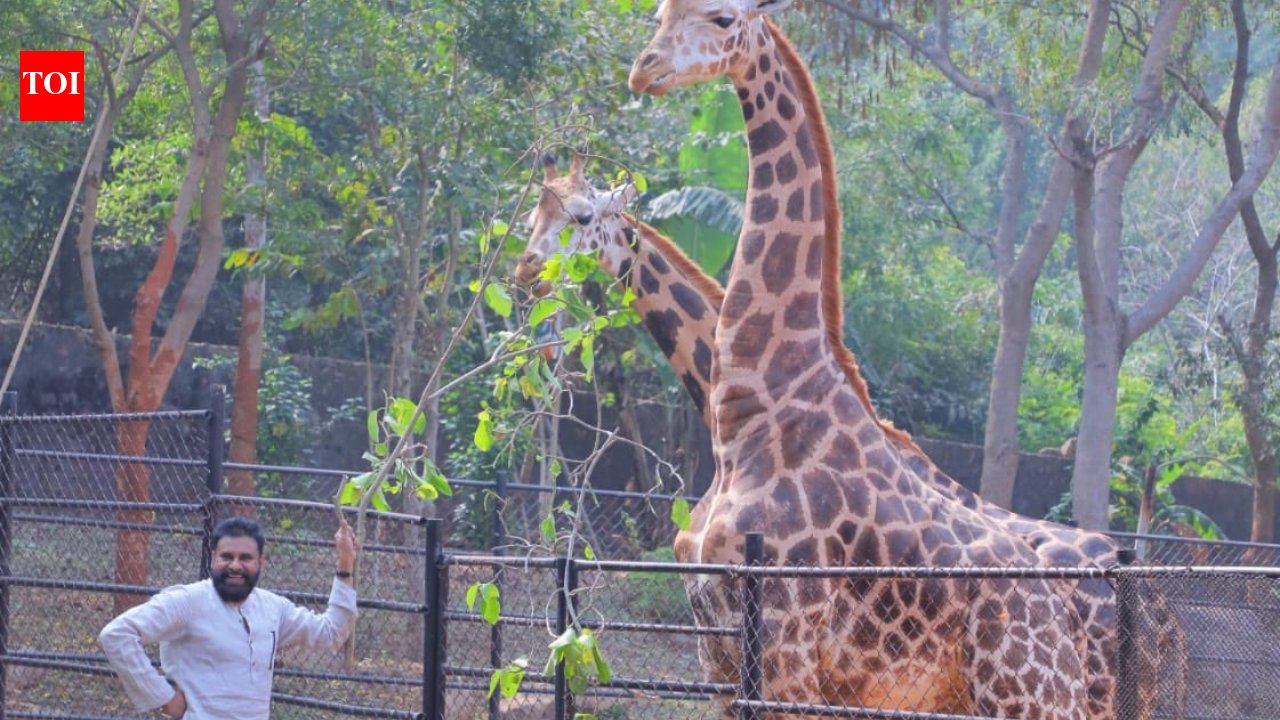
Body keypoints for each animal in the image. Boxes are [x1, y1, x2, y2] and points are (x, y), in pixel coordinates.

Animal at [628, 2, 1102, 717]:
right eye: (658, 15)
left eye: (723, 18)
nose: (645, 69)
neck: (750, 412)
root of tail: (1060, 617)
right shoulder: (717, 644)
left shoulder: (786, 644)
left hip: (1028, 692)